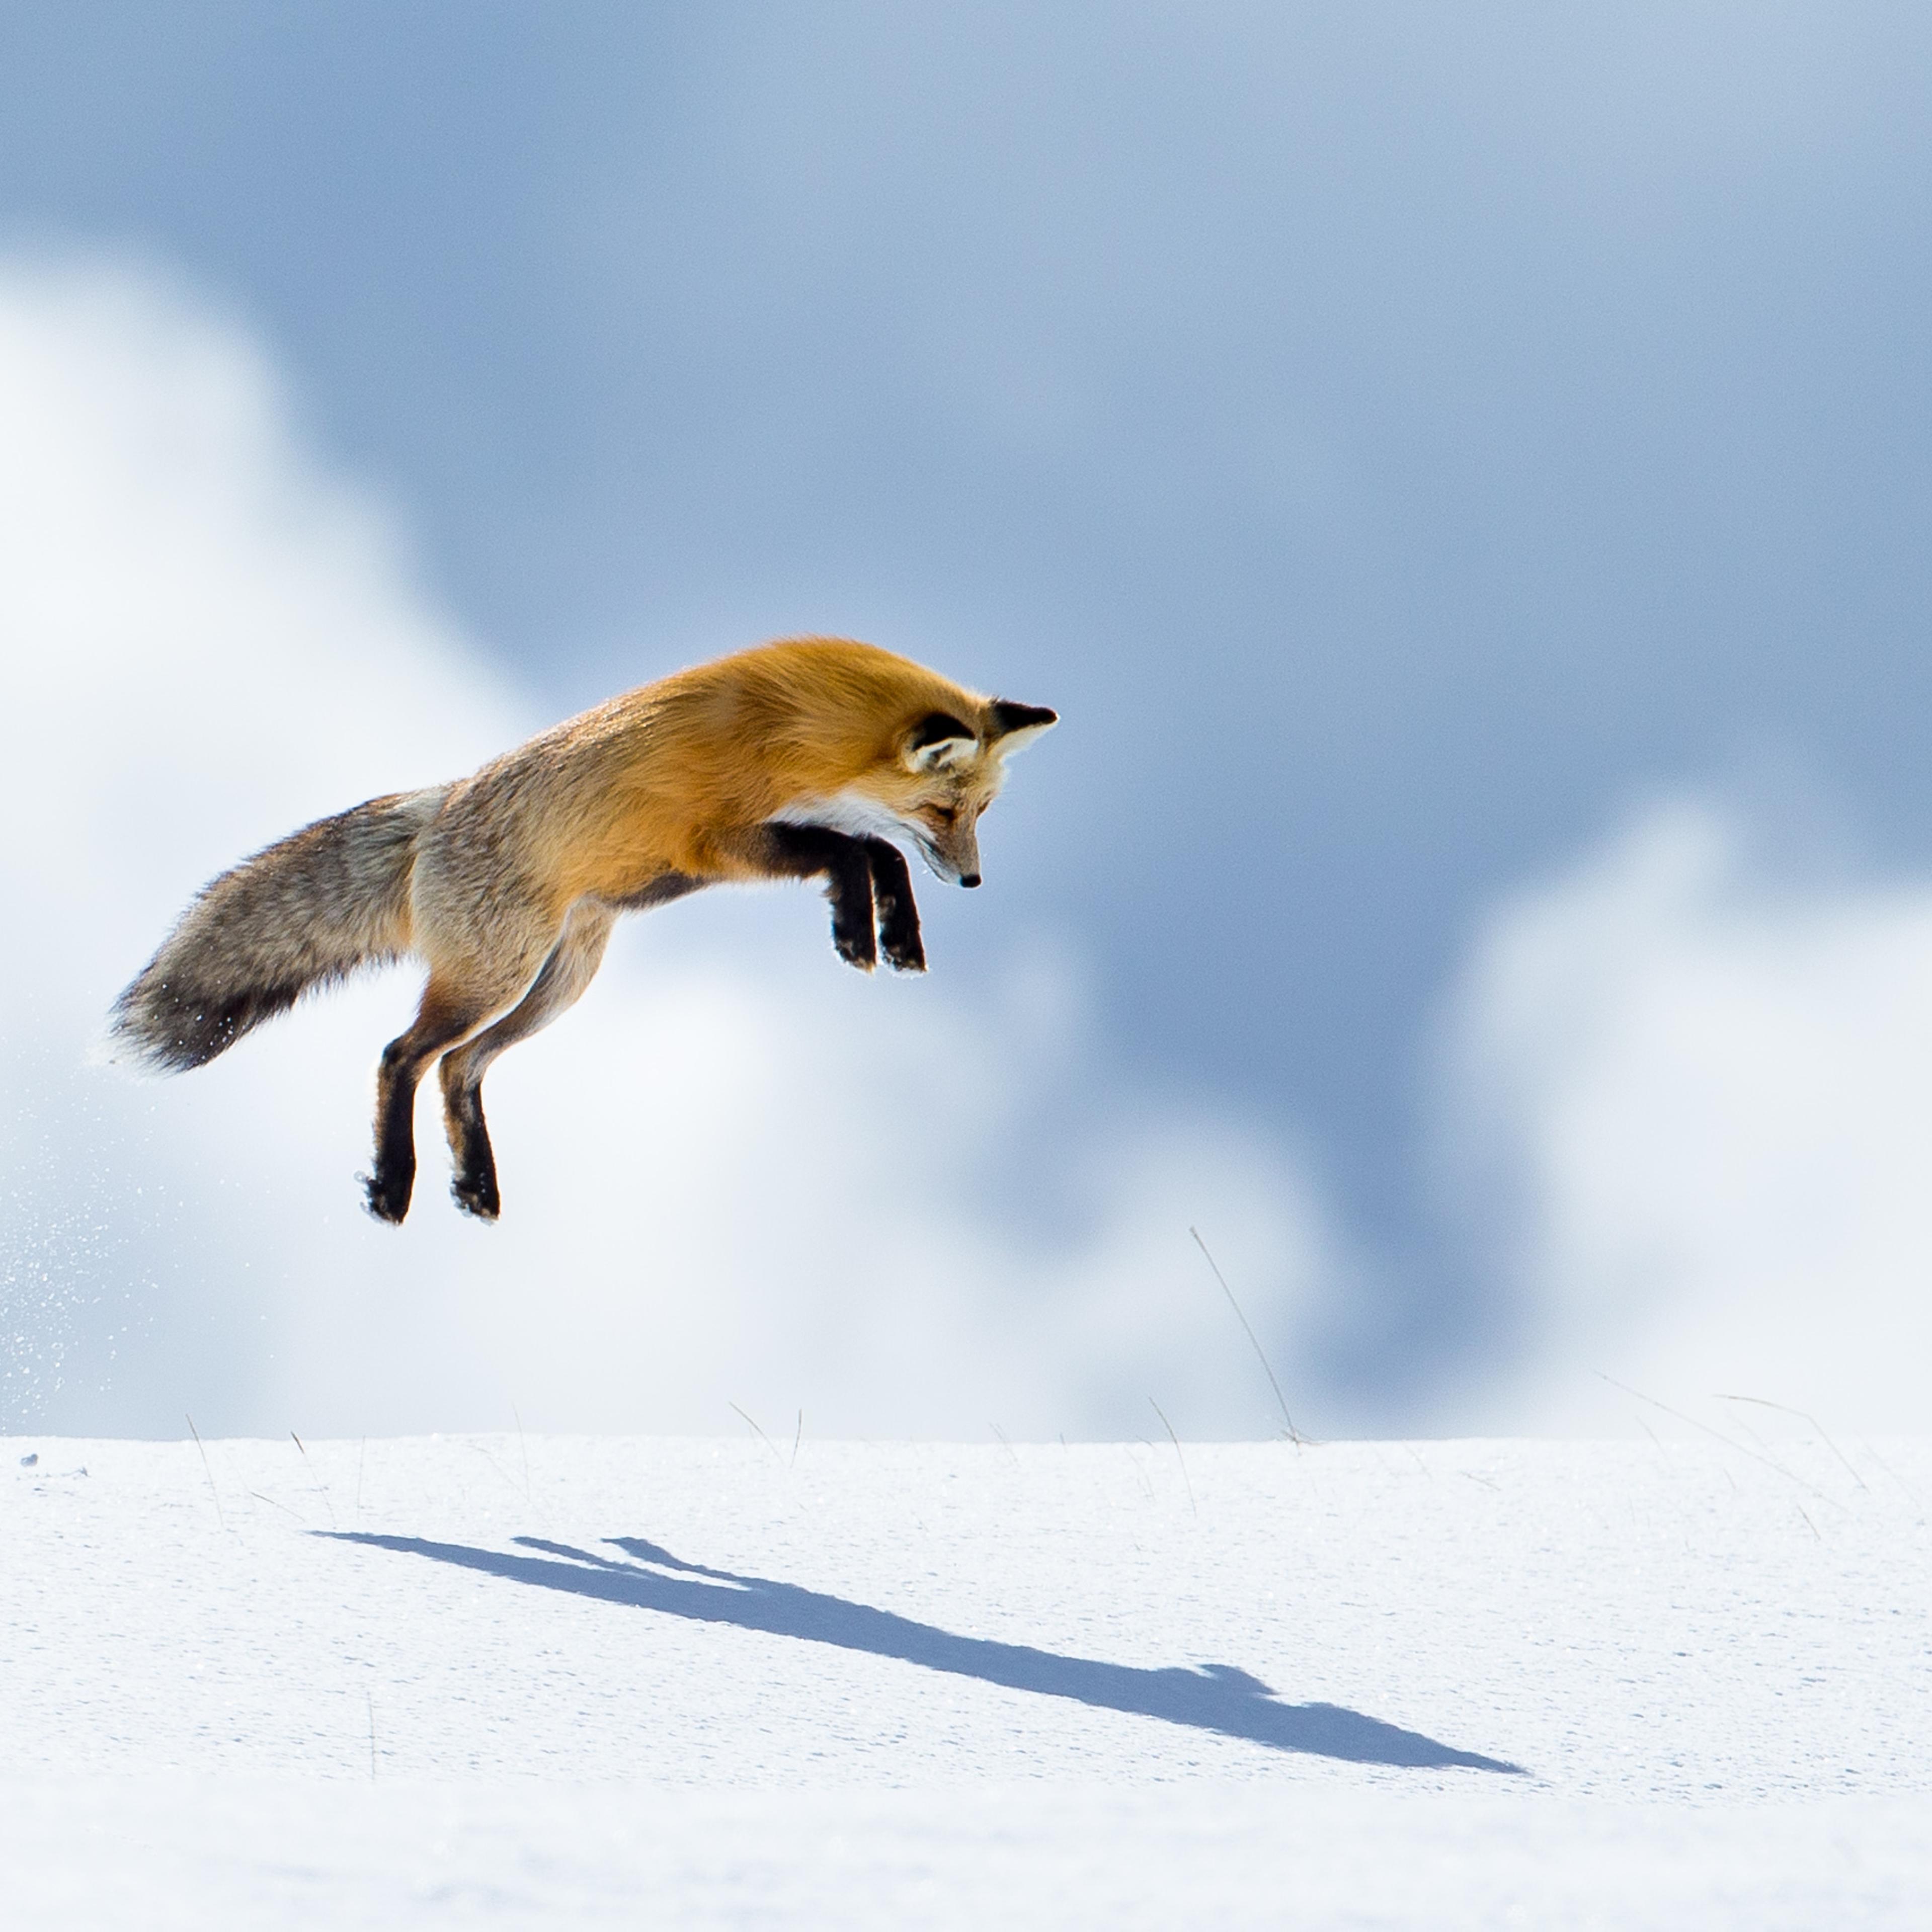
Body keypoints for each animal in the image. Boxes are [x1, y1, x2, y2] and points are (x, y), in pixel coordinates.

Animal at [108, 637, 1056, 1224]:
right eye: (945, 811)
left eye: (982, 814)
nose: (973, 880)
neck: (792, 727)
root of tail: (438, 808)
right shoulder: (721, 842)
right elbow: (858, 851)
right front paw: (861, 935)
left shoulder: (773, 834)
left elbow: (873, 854)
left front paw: (894, 939)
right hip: (496, 975)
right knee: (401, 1056)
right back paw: (394, 1186)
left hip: (562, 983)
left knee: (459, 1068)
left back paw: (475, 1186)